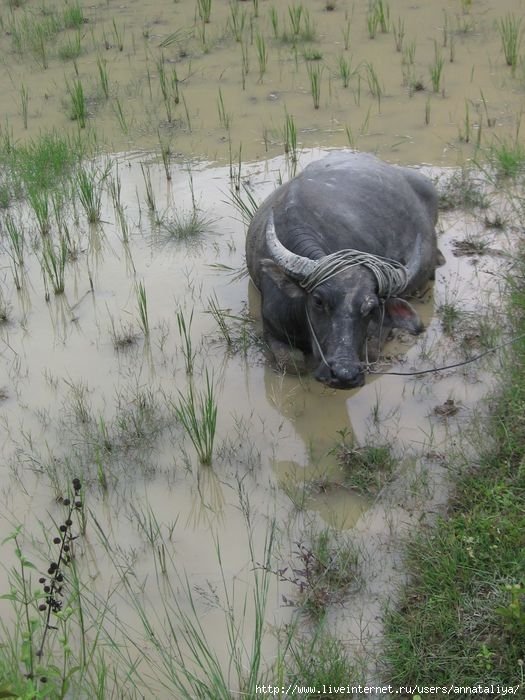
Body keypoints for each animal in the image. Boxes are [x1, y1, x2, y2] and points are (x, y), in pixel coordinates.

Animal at [246, 152, 442, 388]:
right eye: (318, 301)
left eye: (370, 308)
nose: (343, 374)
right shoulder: (272, 329)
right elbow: (292, 364)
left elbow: (372, 351)